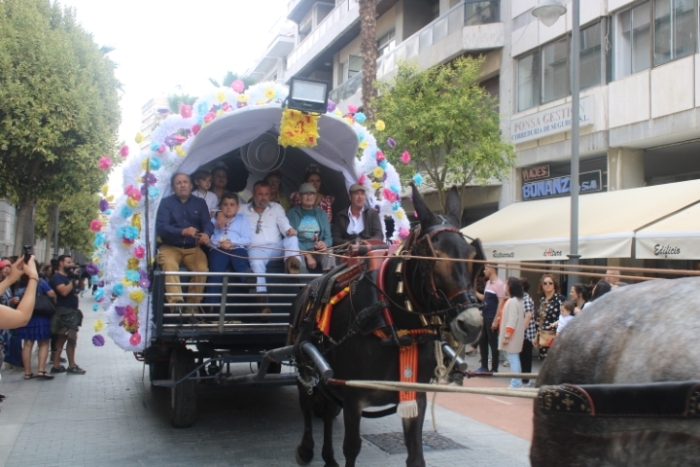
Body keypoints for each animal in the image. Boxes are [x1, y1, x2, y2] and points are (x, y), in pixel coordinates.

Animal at [290, 185, 482, 466]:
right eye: (434, 256)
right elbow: (352, 448)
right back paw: (305, 449)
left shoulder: (415, 394)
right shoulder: (354, 395)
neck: (397, 327)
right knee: (306, 403)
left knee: (326, 411)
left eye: (472, 257)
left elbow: (416, 455)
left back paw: (328, 456)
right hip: (304, 361)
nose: (472, 323)